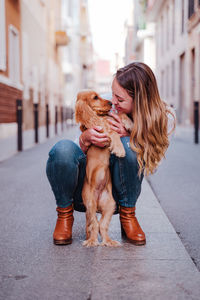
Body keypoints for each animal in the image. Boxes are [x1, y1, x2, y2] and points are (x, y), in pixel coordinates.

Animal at [75, 89, 133, 246]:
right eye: (95, 97)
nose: (111, 103)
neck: (98, 117)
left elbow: (118, 115)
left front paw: (129, 122)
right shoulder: (101, 131)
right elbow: (113, 133)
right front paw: (119, 149)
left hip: (110, 205)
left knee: (102, 226)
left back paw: (109, 242)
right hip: (90, 204)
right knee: (94, 225)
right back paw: (91, 241)